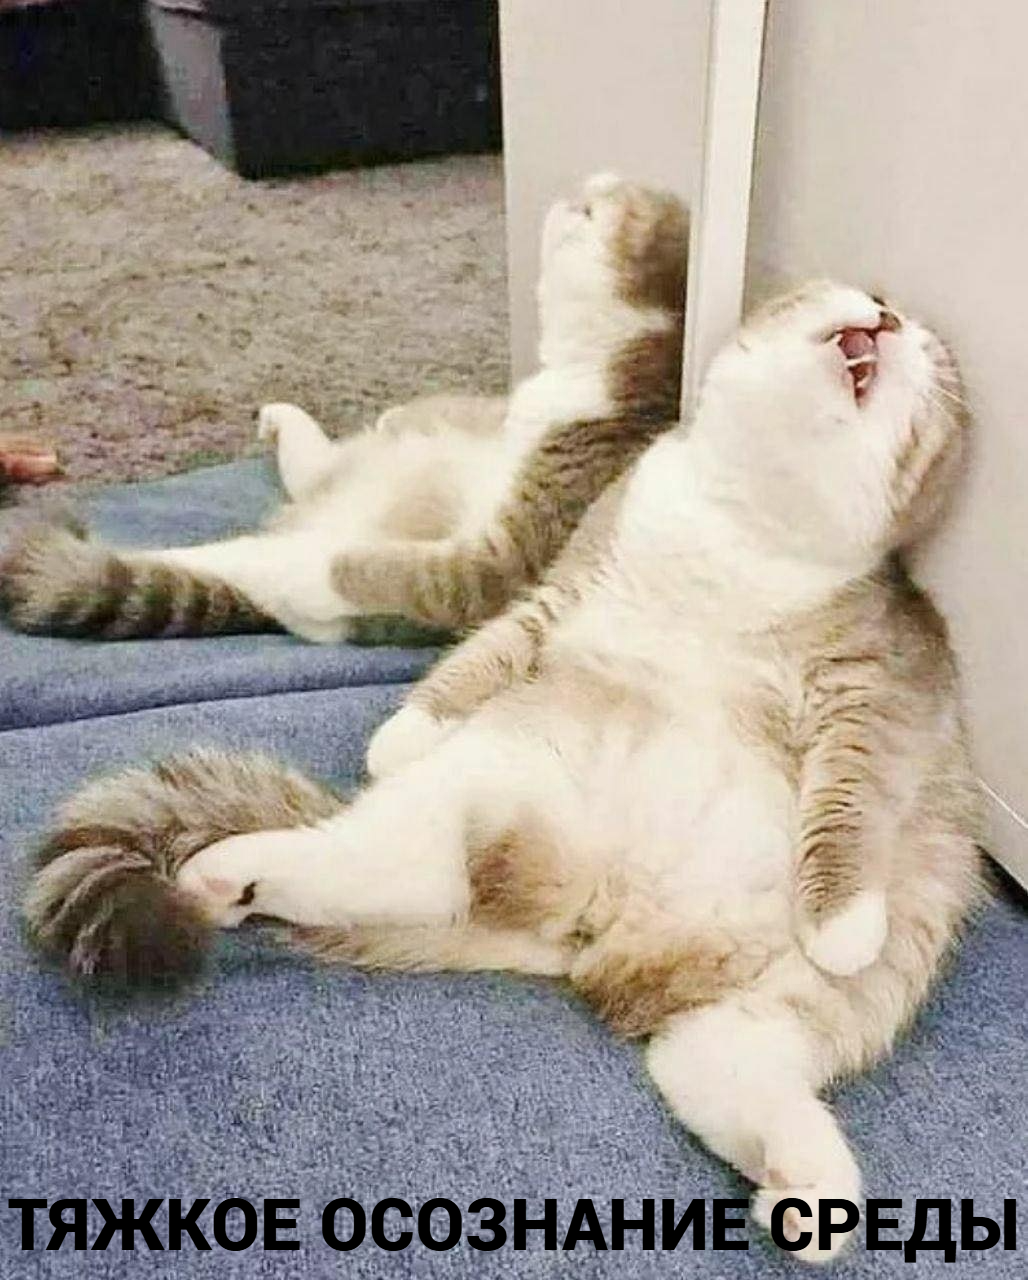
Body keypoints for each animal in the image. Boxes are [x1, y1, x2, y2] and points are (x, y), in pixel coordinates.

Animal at [0, 175, 688, 645]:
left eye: (592, 210)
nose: (577, 188)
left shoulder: (499, 562)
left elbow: (374, 569)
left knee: (267, 551)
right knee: (317, 469)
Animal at [25, 280, 981, 1261]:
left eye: (934, 369)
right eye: (862, 296)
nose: (889, 314)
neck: (743, 538)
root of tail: (596, 929)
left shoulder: (871, 690)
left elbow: (849, 803)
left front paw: (841, 916)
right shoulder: (563, 587)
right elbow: (481, 655)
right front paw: (405, 729)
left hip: (827, 988)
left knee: (711, 1060)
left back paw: (808, 1186)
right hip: (483, 783)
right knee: (389, 868)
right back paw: (238, 868)